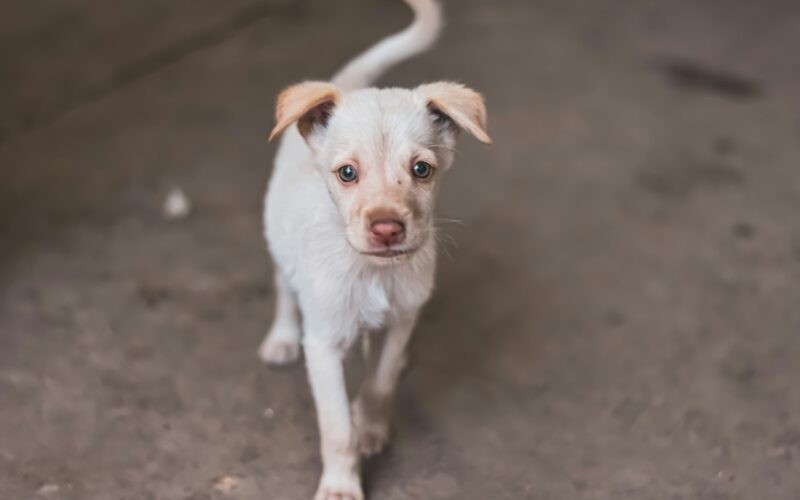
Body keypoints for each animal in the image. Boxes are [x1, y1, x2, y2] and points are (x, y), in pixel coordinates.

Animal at [260, 1, 490, 498]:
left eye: (422, 169)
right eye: (347, 173)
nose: (387, 229)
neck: (373, 272)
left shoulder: (402, 317)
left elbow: (379, 384)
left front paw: (371, 427)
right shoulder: (324, 344)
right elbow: (335, 428)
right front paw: (341, 485)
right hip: (278, 239)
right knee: (283, 287)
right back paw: (281, 338)